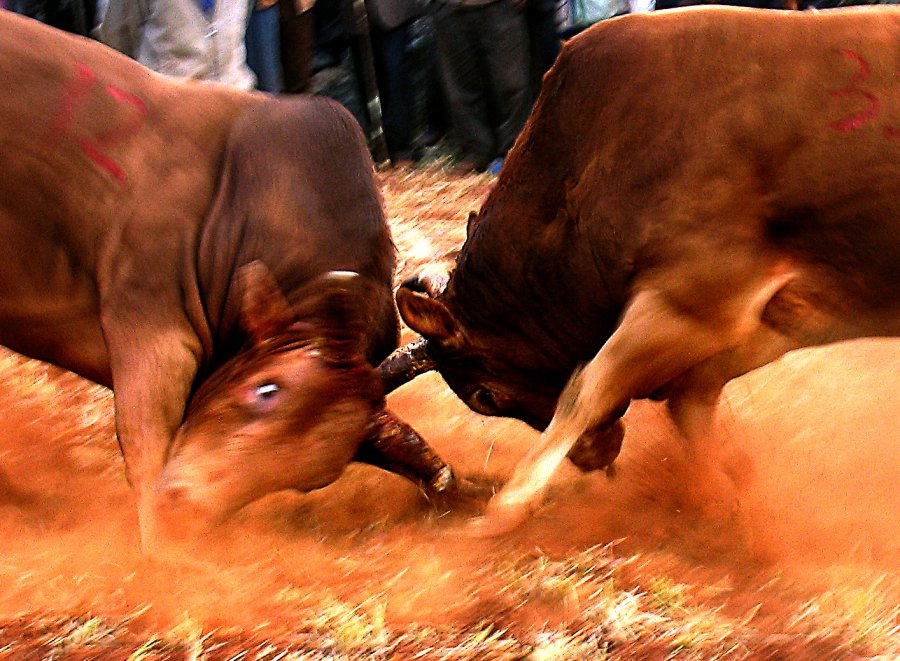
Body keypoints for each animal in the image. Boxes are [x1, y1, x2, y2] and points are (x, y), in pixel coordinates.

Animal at [384, 5, 900, 532]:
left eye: (485, 396)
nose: (593, 458)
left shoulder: (694, 304)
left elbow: (587, 389)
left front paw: (502, 510)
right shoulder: (784, 313)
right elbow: (689, 398)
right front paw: (724, 494)